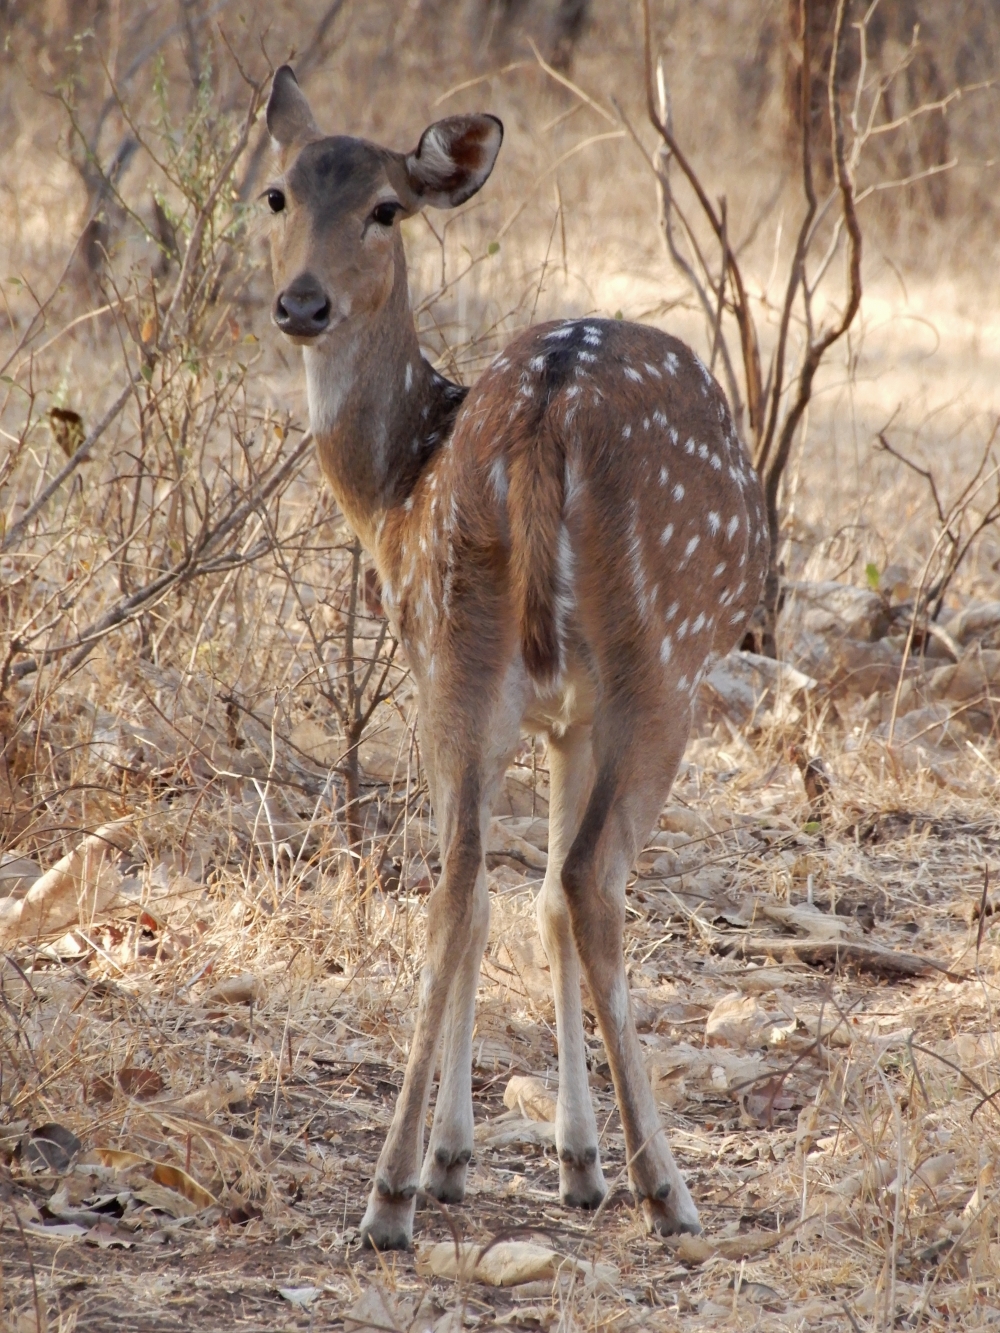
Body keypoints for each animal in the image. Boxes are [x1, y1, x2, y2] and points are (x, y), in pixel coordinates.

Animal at [263, 65, 768, 1250]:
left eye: (384, 208)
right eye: (277, 195)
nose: (301, 303)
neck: (393, 488)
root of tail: (549, 410)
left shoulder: (477, 688)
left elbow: (503, 895)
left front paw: (463, 1159)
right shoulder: (573, 709)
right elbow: (545, 897)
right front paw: (577, 1163)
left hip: (466, 645)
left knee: (456, 882)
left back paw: (389, 1196)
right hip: (659, 660)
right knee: (590, 879)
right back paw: (665, 1185)